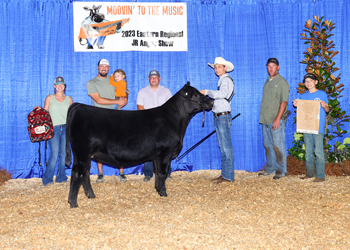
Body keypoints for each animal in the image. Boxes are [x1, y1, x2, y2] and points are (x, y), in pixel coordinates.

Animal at [65, 83, 213, 208]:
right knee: (77, 173)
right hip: (82, 152)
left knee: (85, 173)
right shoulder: (165, 152)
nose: (211, 101)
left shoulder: (156, 156)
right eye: (196, 95)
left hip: (86, 155)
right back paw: (73, 203)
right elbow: (163, 173)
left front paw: (158, 190)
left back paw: (91, 195)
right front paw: (164, 194)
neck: (175, 120)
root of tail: (78, 106)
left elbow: (157, 173)